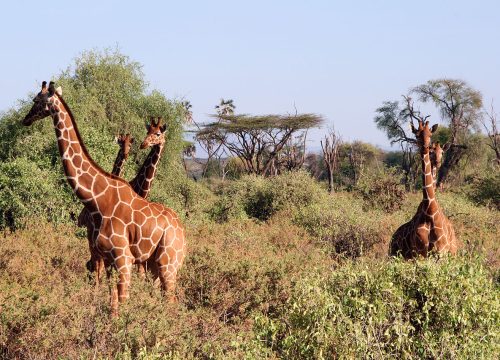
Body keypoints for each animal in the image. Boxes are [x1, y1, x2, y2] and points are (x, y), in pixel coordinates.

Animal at [388, 120, 458, 258]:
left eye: (430, 135)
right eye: (417, 135)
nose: (425, 147)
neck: (430, 210)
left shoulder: (440, 252)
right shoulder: (420, 254)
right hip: (394, 255)